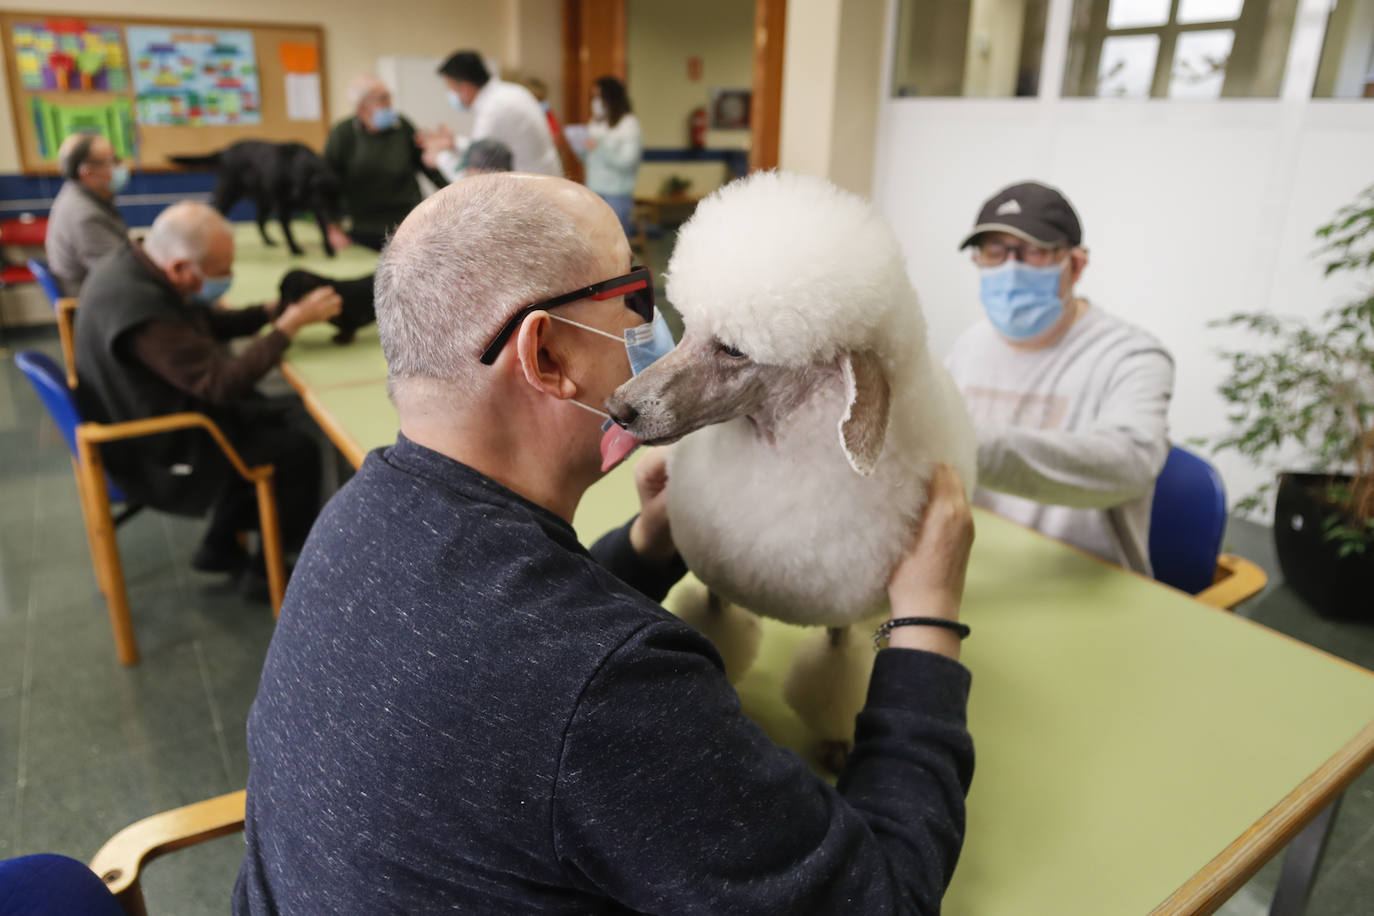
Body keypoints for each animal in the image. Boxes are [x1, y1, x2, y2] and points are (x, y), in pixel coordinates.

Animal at [171, 142, 343, 258]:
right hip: (228, 194)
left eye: (338, 199)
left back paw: (268, 242)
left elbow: (323, 230)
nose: (337, 219)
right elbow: (289, 231)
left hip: (263, 200)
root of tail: (225, 151)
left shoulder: (316, 209)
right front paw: (295, 249)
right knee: (217, 213)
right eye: (324, 198)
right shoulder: (283, 207)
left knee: (259, 221)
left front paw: (329, 249)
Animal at [604, 170, 978, 769]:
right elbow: (715, 627)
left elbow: (839, 670)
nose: (619, 408)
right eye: (687, 328)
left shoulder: (840, 617)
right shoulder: (716, 585)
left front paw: (837, 740)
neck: (780, 452)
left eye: (734, 349)